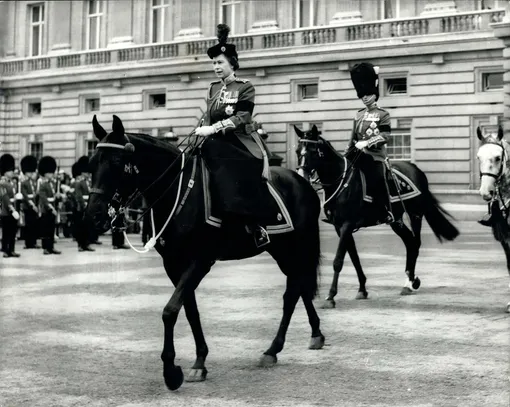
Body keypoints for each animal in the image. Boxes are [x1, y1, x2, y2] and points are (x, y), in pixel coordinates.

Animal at [83, 115, 322, 392]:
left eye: (116, 162)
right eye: (92, 163)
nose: (93, 216)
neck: (178, 191)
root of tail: (302, 181)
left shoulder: (200, 261)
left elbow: (170, 310)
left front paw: (171, 371)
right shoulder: (173, 263)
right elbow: (189, 310)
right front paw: (199, 361)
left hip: (295, 246)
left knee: (292, 292)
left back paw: (274, 348)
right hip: (281, 250)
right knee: (299, 286)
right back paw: (313, 334)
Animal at [294, 126, 458, 308]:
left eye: (313, 151)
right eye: (297, 151)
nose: (302, 176)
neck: (341, 182)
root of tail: (416, 169)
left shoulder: (346, 225)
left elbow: (338, 260)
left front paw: (330, 296)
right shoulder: (340, 227)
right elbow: (354, 258)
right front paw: (362, 289)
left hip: (415, 214)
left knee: (415, 243)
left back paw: (410, 283)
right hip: (396, 221)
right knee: (410, 243)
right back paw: (409, 280)